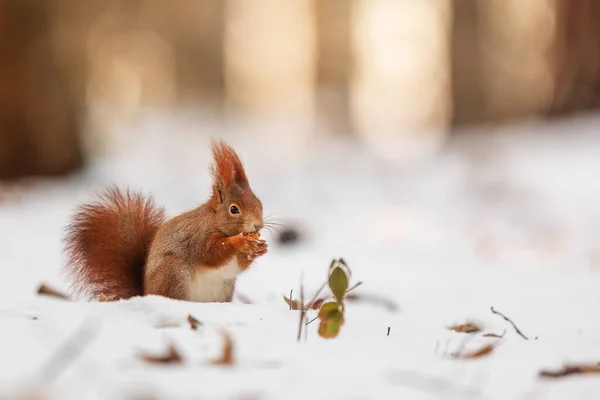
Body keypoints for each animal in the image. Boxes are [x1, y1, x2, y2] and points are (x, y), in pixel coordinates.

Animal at [62, 139, 268, 302]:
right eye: (234, 209)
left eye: (259, 202)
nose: (258, 225)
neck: (215, 222)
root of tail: (146, 293)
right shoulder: (197, 237)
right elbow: (211, 252)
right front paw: (239, 241)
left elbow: (239, 264)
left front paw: (260, 248)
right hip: (173, 273)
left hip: (224, 288)